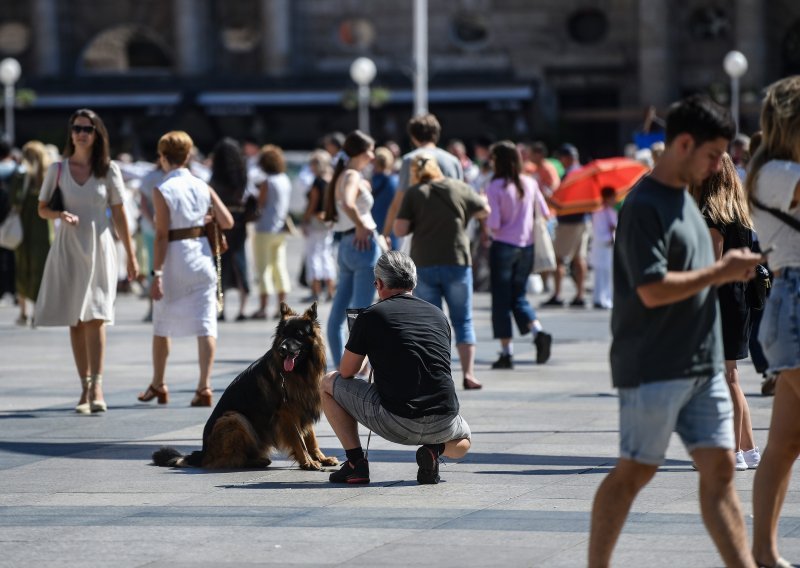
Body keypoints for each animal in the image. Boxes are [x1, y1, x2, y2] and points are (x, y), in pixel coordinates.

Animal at [152, 304, 338, 468]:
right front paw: (308, 462)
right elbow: (299, 441)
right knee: (225, 460)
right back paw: (256, 461)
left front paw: (321, 458)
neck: (301, 370)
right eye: (283, 334)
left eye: (298, 334)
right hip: (234, 418)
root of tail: (203, 453)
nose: (282, 349)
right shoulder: (288, 414)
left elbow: (311, 438)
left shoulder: (304, 407)